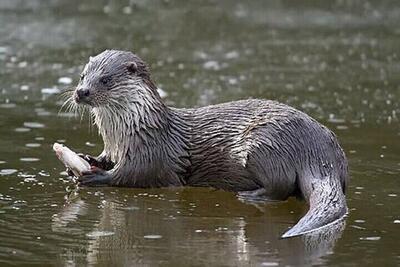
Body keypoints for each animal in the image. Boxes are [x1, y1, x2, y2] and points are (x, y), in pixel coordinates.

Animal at [65, 49, 346, 238]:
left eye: (105, 80)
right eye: (81, 76)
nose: (81, 92)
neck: (130, 131)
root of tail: (321, 152)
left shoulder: (152, 152)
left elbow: (134, 174)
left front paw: (95, 177)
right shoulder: (115, 148)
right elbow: (107, 159)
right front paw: (85, 160)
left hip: (263, 144)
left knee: (281, 184)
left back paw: (251, 196)